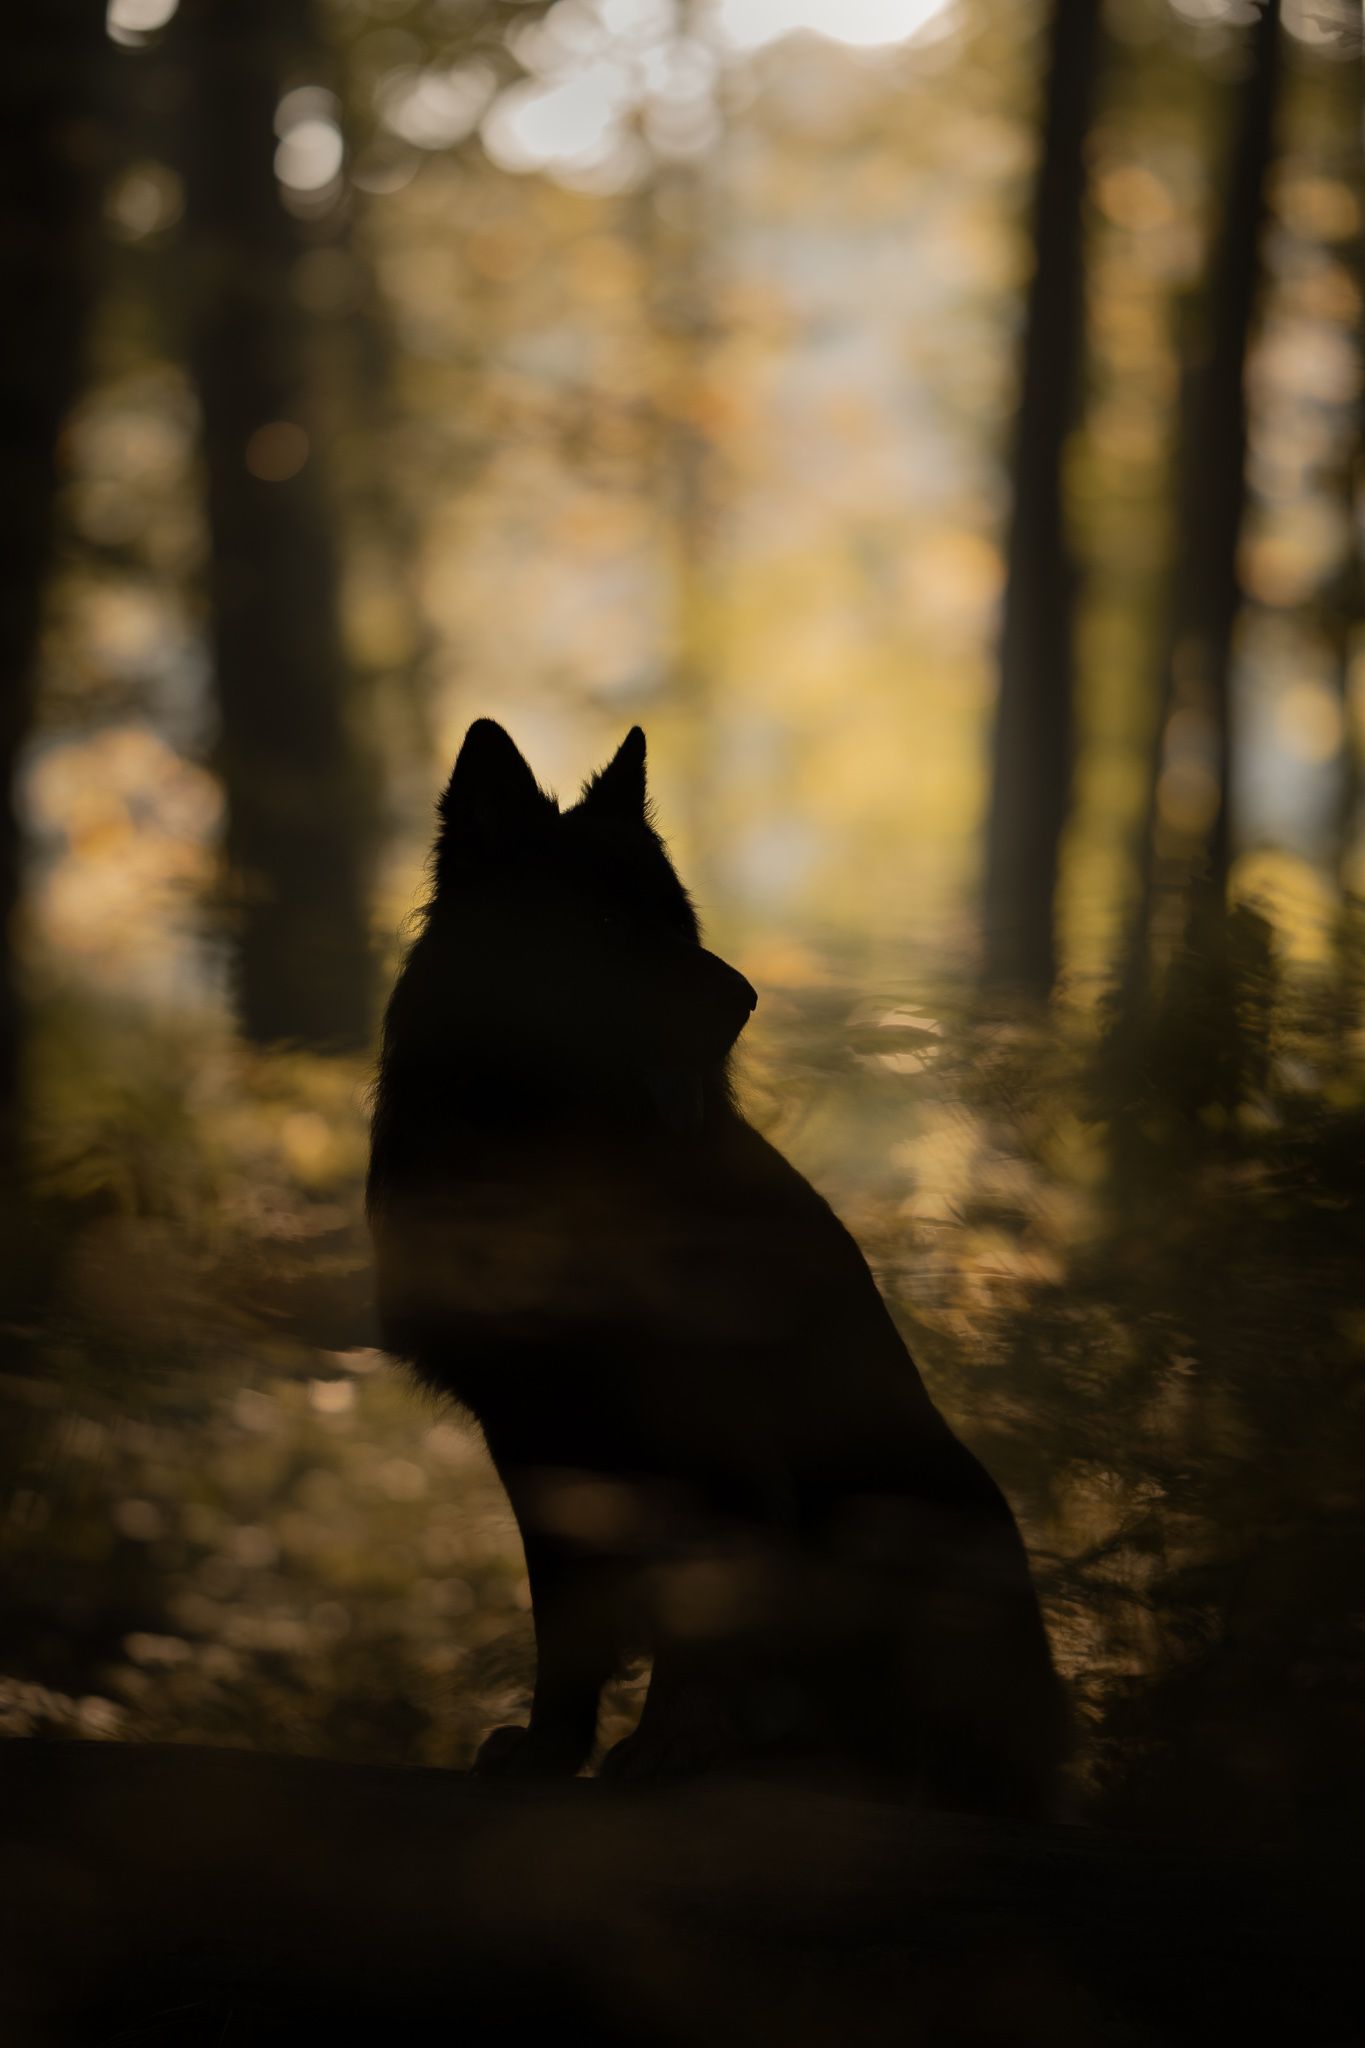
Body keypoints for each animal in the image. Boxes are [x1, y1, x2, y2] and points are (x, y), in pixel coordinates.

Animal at [368, 720, 1067, 1811]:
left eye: (681, 919)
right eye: (608, 920)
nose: (744, 999)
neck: (549, 1152)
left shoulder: (708, 1426)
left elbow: (705, 1601)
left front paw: (674, 1741)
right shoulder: (531, 1437)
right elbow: (565, 1625)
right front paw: (548, 1751)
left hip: (899, 1514)